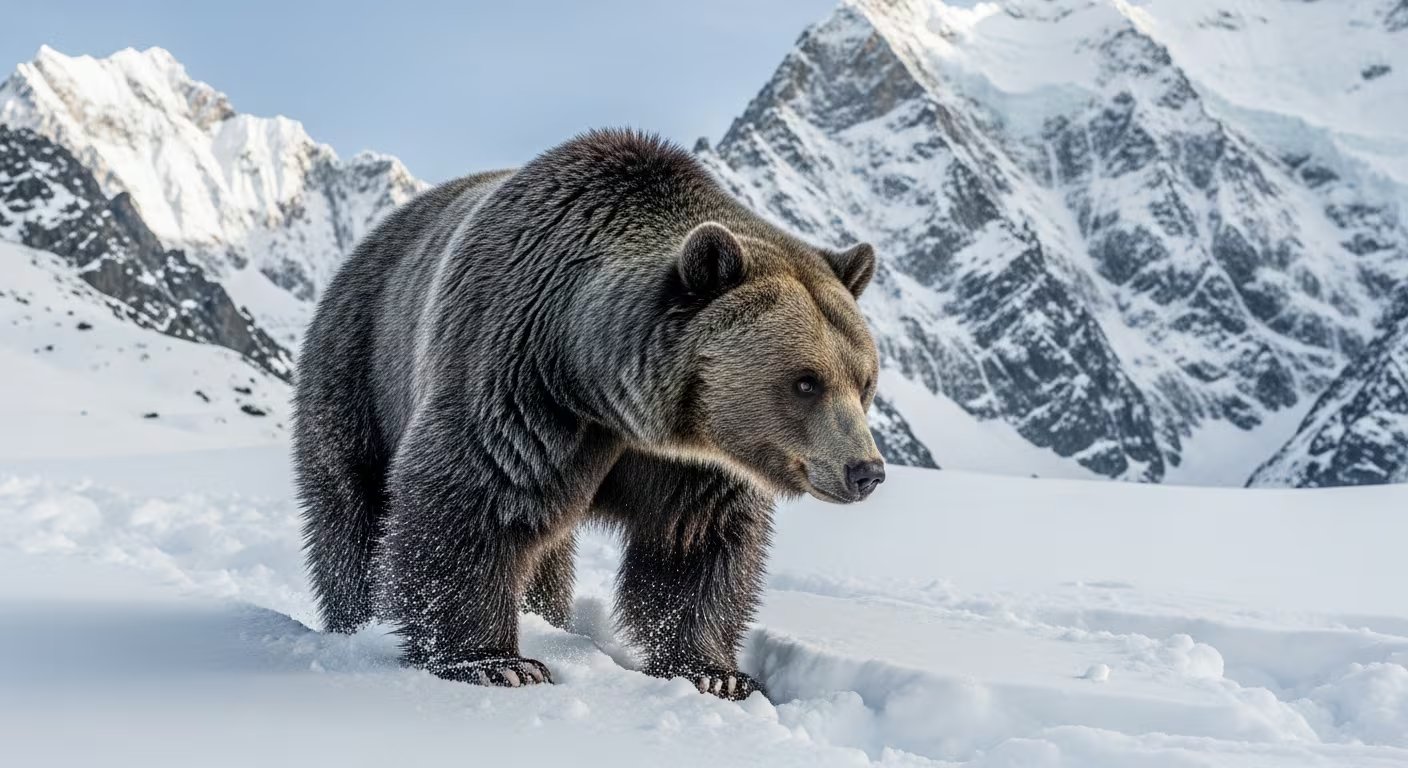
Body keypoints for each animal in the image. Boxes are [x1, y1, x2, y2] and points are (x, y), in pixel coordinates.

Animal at [293, 129, 885, 700]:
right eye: (806, 381)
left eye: (865, 382)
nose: (866, 471)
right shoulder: (519, 381)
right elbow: (470, 499)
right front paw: (497, 663)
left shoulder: (692, 461)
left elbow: (695, 545)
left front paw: (717, 673)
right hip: (360, 365)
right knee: (351, 508)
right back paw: (357, 619)